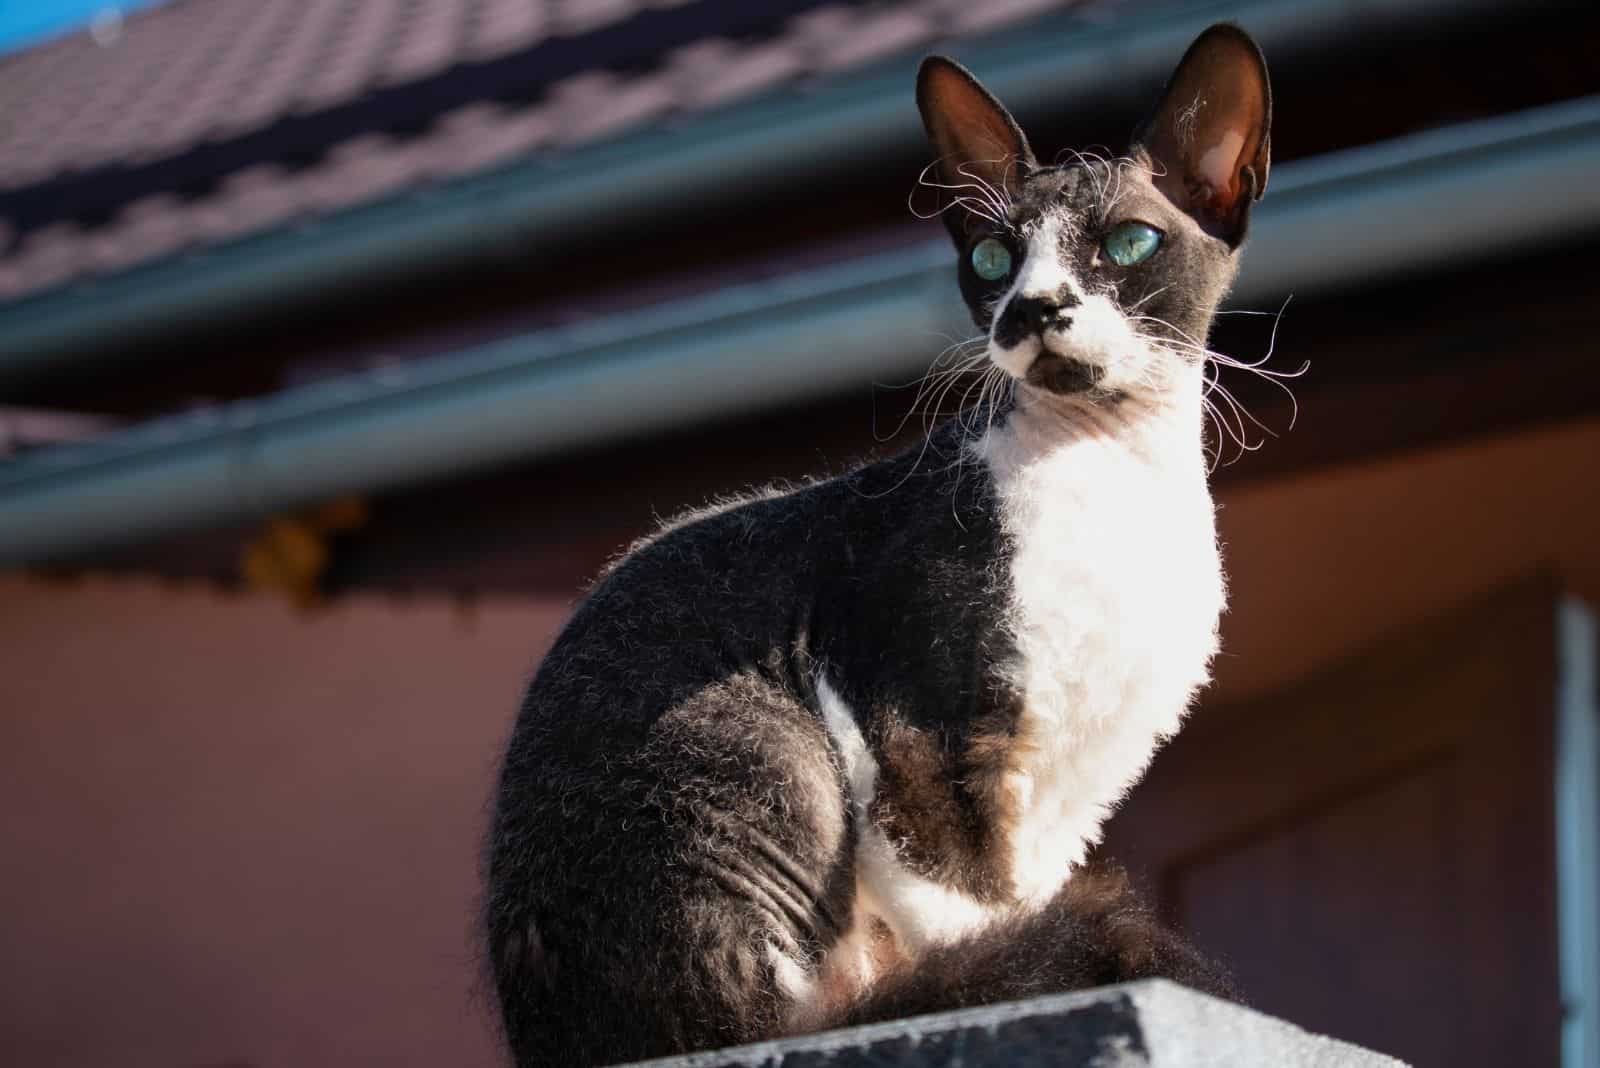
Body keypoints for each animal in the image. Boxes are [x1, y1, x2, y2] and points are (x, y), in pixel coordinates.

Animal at [486, 24, 1273, 1068]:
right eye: (994, 256)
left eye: (1128, 242)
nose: (1033, 309)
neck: (1114, 469)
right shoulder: (909, 728)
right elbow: (969, 915)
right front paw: (999, 983)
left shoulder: (1065, 795)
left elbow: (1017, 905)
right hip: (760, 747)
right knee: (794, 1014)